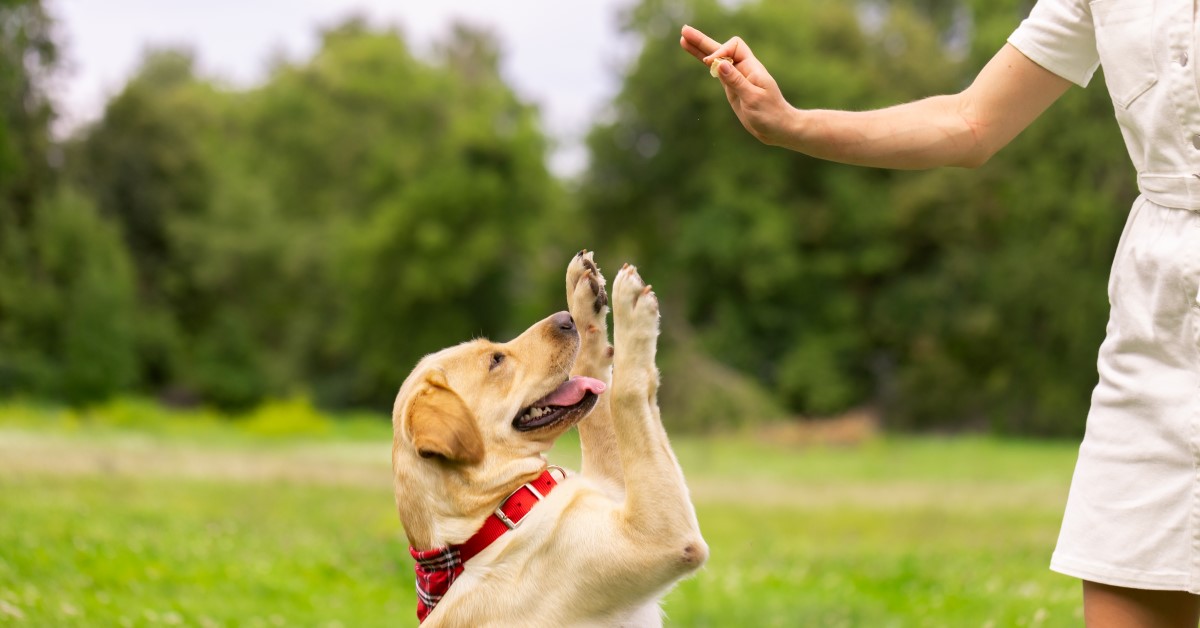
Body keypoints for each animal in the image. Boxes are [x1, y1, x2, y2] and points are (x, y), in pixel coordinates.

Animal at [388, 253, 705, 624]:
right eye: (496, 359)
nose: (566, 319)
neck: (492, 519)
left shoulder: (614, 487)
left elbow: (598, 403)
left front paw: (584, 297)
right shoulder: (658, 537)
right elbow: (624, 393)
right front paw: (632, 307)